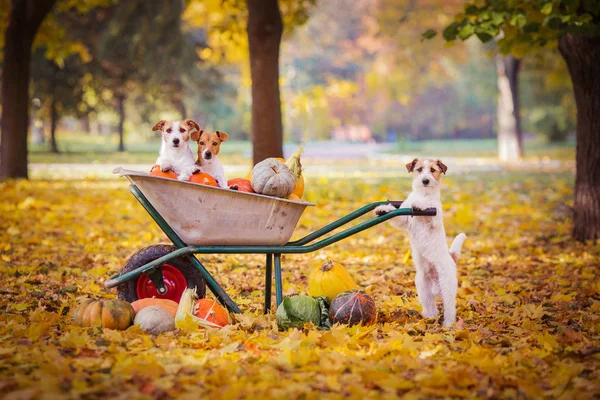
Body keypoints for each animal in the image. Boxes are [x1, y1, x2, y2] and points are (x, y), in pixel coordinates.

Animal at [376, 158, 468, 326]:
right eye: (419, 169)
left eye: (432, 170)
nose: (425, 181)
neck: (423, 193)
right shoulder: (403, 219)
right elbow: (396, 215)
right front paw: (383, 208)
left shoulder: (435, 219)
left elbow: (427, 206)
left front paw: (420, 204)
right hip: (422, 287)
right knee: (431, 307)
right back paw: (428, 318)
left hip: (447, 287)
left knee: (449, 309)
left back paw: (447, 325)